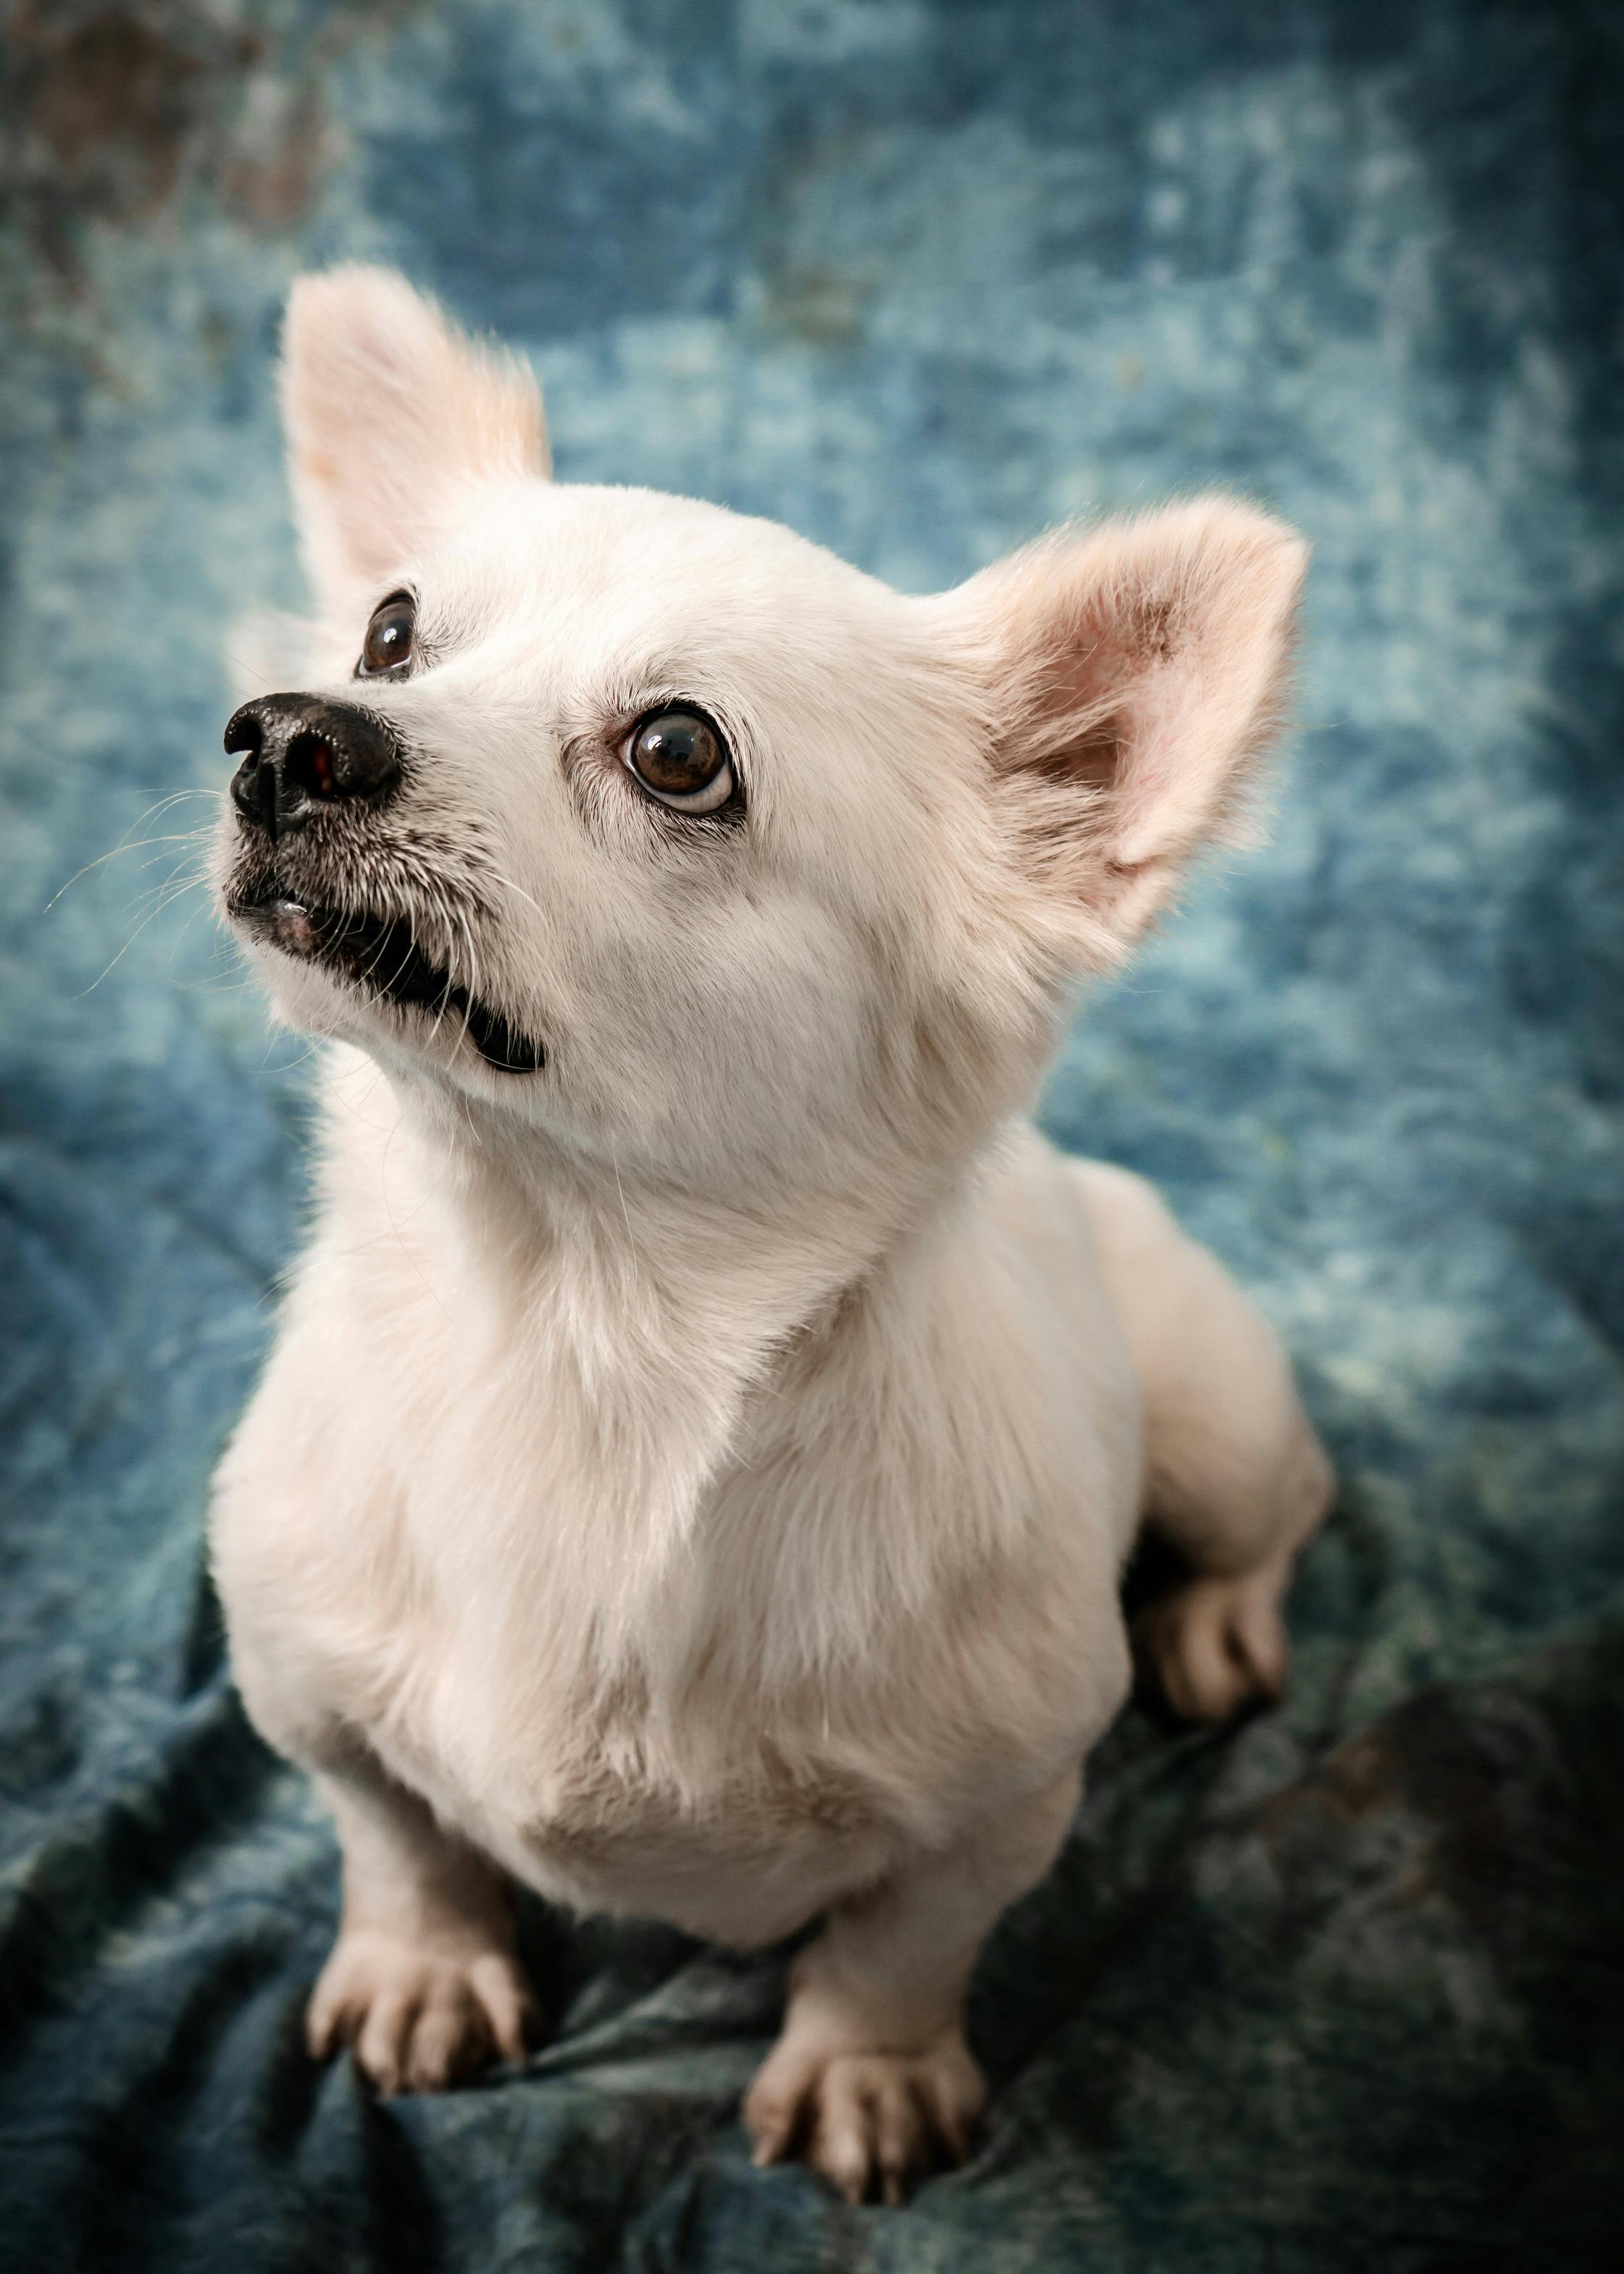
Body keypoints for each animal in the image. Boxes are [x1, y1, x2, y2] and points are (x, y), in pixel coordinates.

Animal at [209, 266, 1328, 2201]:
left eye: (679, 753)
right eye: (390, 633)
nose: (289, 733)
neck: (570, 1334)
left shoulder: (1003, 1798)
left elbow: (900, 1941)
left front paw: (865, 2069)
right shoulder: (302, 1691)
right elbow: (394, 1834)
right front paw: (425, 1965)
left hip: (1215, 1416)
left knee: (1277, 1510)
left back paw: (1215, 1627)